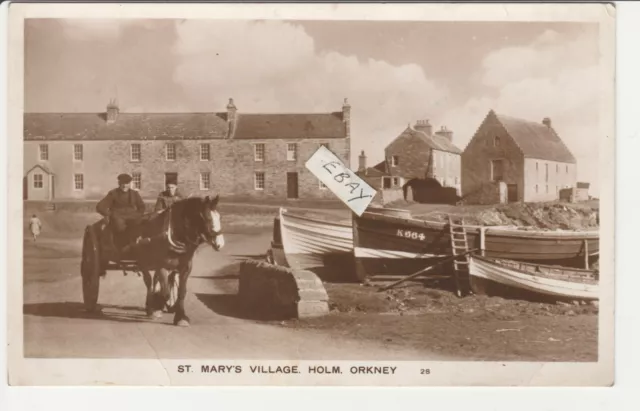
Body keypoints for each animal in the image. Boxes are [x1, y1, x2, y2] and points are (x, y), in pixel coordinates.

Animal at [120, 195, 225, 326]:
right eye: (207, 217)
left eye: (219, 217)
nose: (220, 243)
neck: (175, 234)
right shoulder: (161, 265)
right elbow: (165, 292)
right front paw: (157, 307)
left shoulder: (185, 267)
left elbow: (181, 292)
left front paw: (181, 316)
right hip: (144, 262)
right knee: (149, 282)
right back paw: (150, 307)